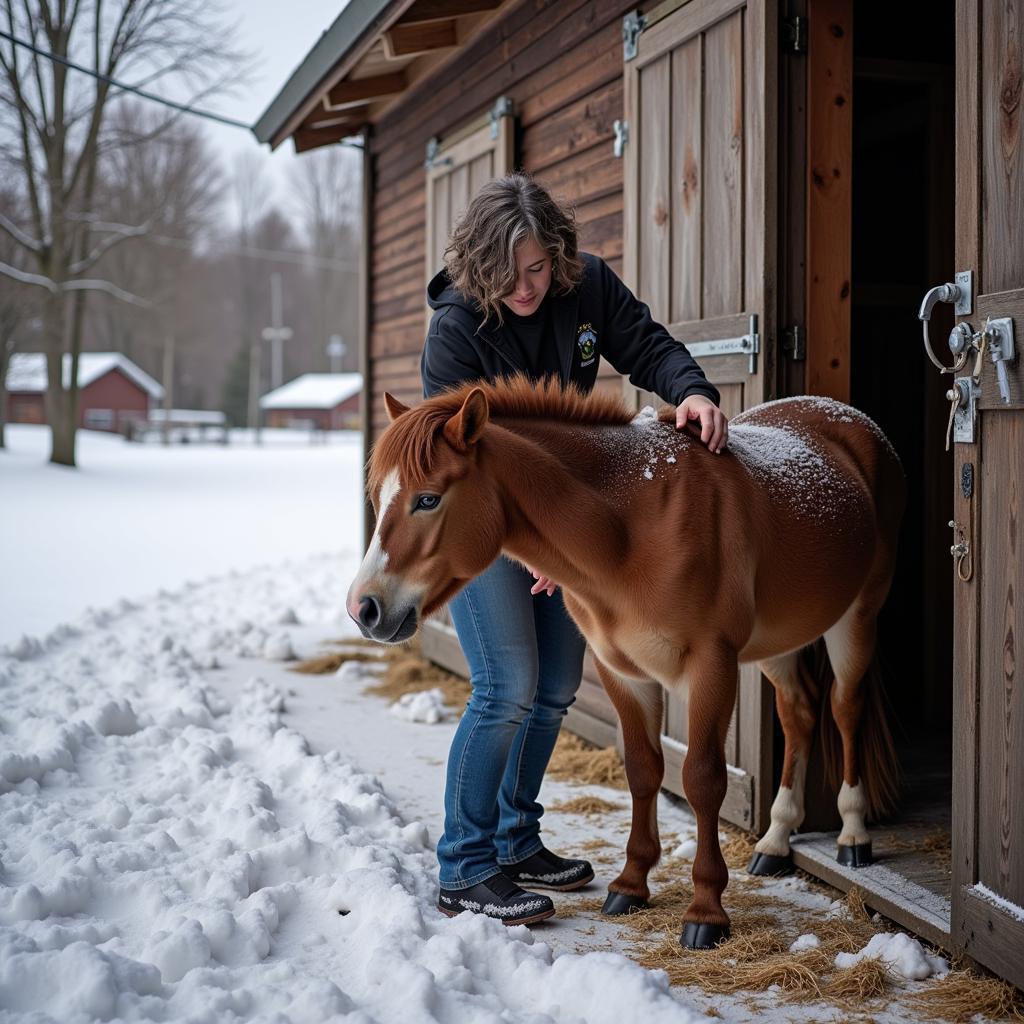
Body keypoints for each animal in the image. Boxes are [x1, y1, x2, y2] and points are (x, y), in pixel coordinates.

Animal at [346, 378, 905, 950]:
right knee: (800, 715)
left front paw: (706, 911)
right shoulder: (624, 674)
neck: (632, 528)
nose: (364, 608)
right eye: (378, 497)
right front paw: (631, 885)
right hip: (779, 644)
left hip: (855, 619)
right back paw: (774, 840)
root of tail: (849, 420)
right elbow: (642, 769)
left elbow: (702, 779)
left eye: (428, 499)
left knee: (845, 709)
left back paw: (853, 834)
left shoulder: (712, 666)